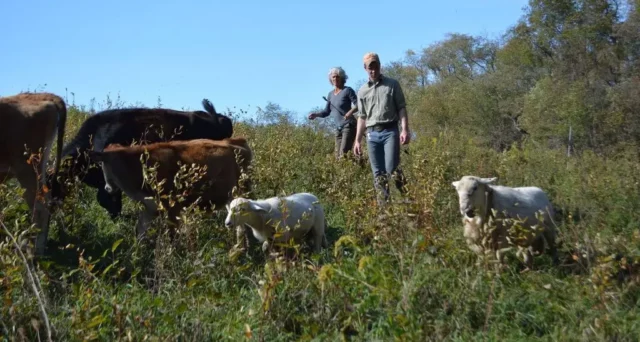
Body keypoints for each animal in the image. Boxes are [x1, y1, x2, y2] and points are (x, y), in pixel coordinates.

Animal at [88, 136, 252, 240]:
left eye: (103, 164)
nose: (107, 188)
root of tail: (235, 141)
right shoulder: (149, 207)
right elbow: (140, 231)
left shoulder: (172, 208)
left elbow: (171, 235)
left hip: (241, 192)